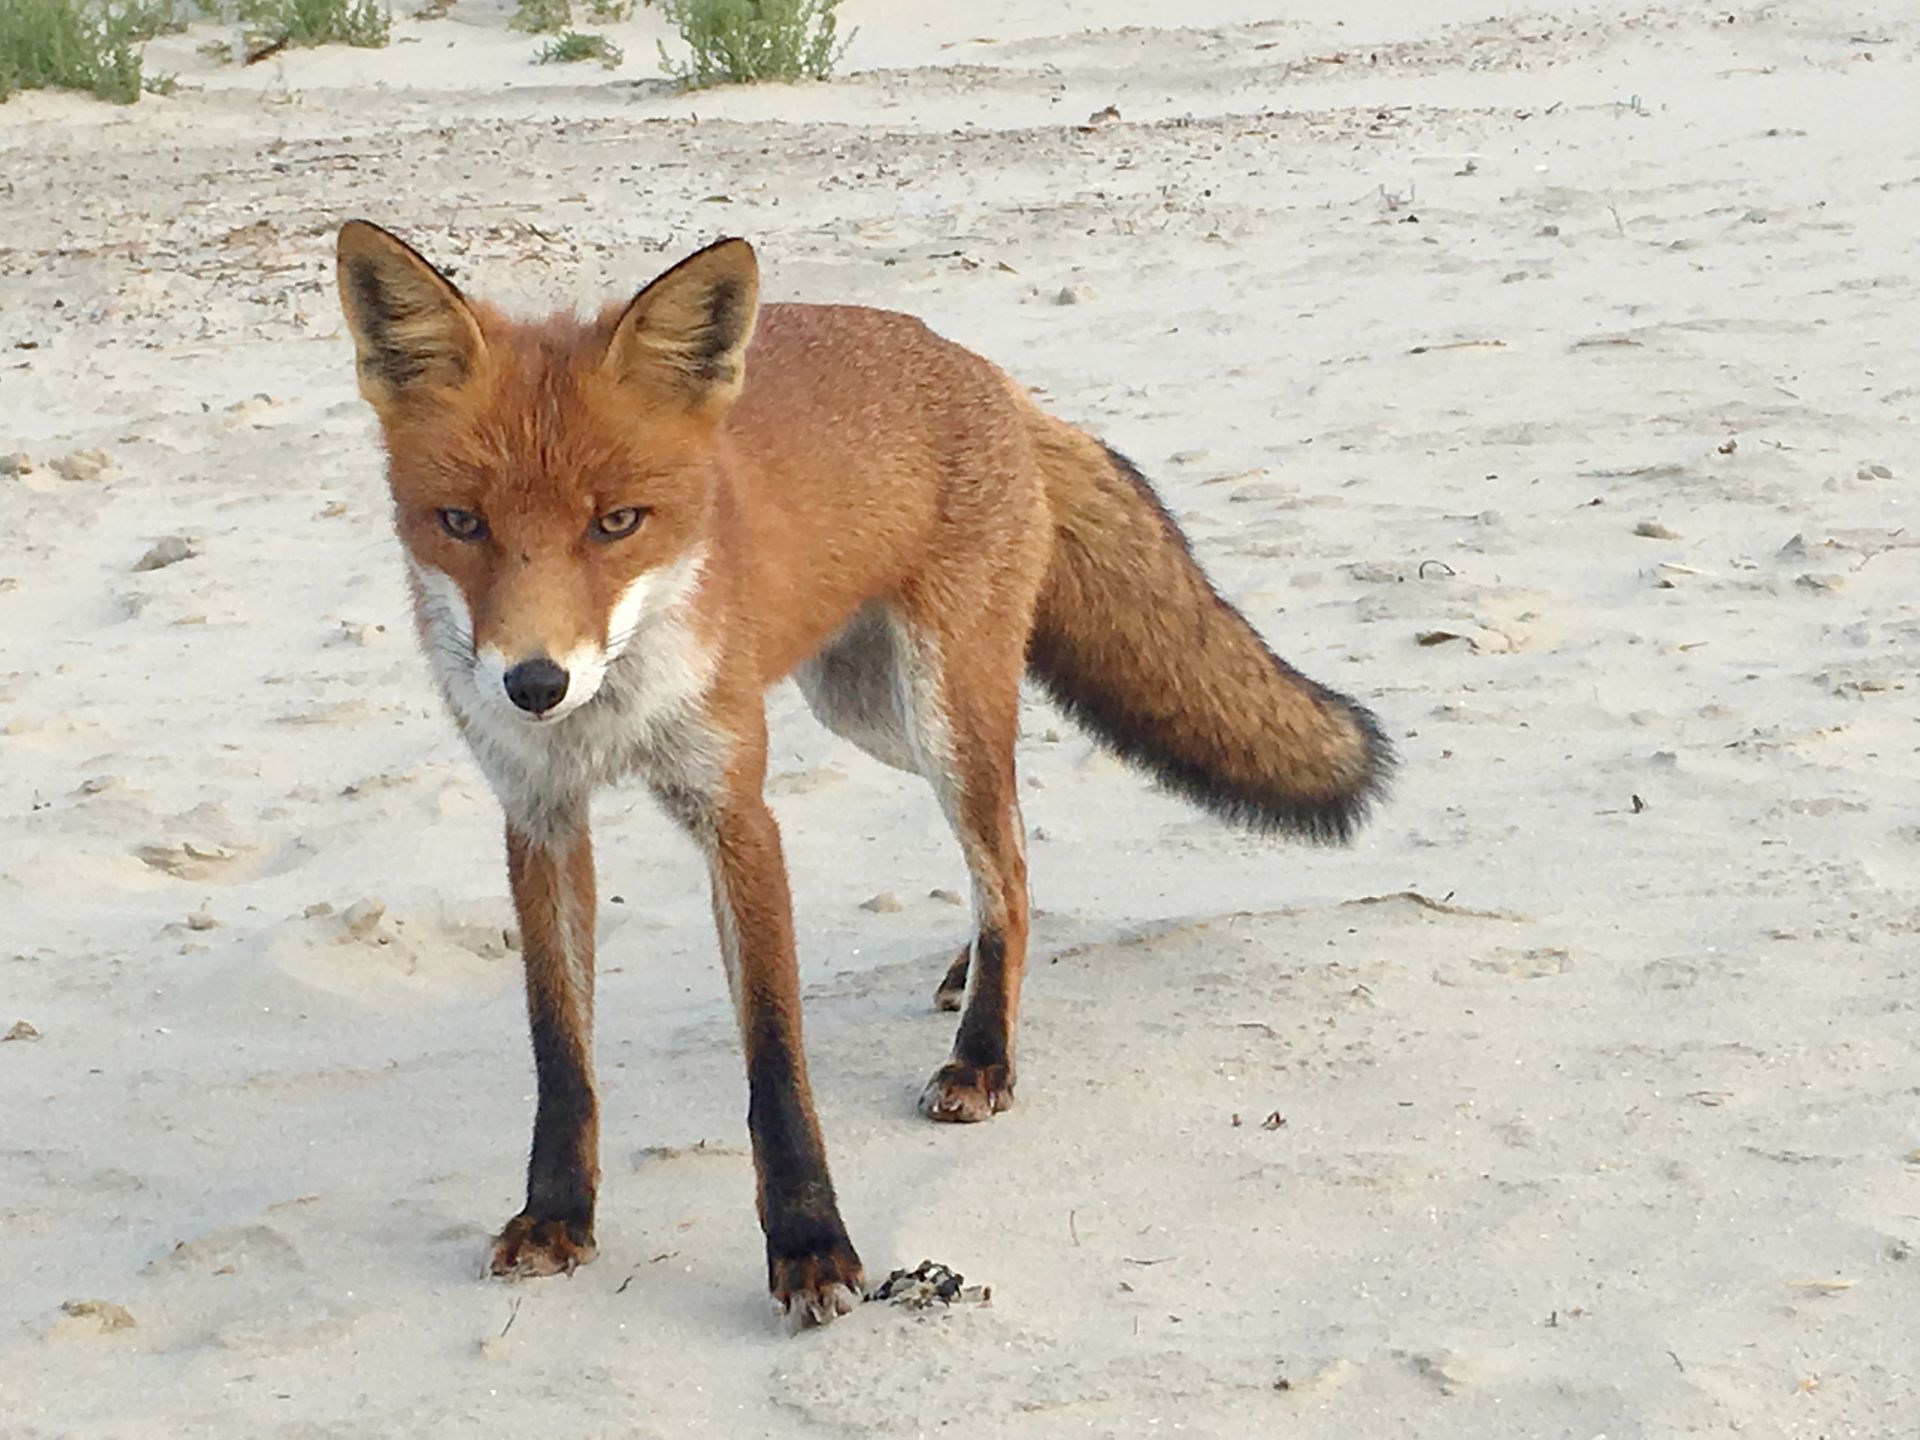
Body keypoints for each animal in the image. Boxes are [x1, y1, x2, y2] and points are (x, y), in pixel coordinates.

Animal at [333, 219, 1391, 1327]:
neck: (612, 717)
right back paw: (978, 975)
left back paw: (985, 1053)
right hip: (868, 712)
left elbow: (772, 1055)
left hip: (941, 710)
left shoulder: (737, 809)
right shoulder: (538, 814)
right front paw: (556, 1215)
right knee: (1013, 854)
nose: (534, 684)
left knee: (1005, 860)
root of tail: (986, 372)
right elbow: (559, 1047)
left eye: (617, 522)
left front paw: (810, 1245)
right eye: (461, 523)